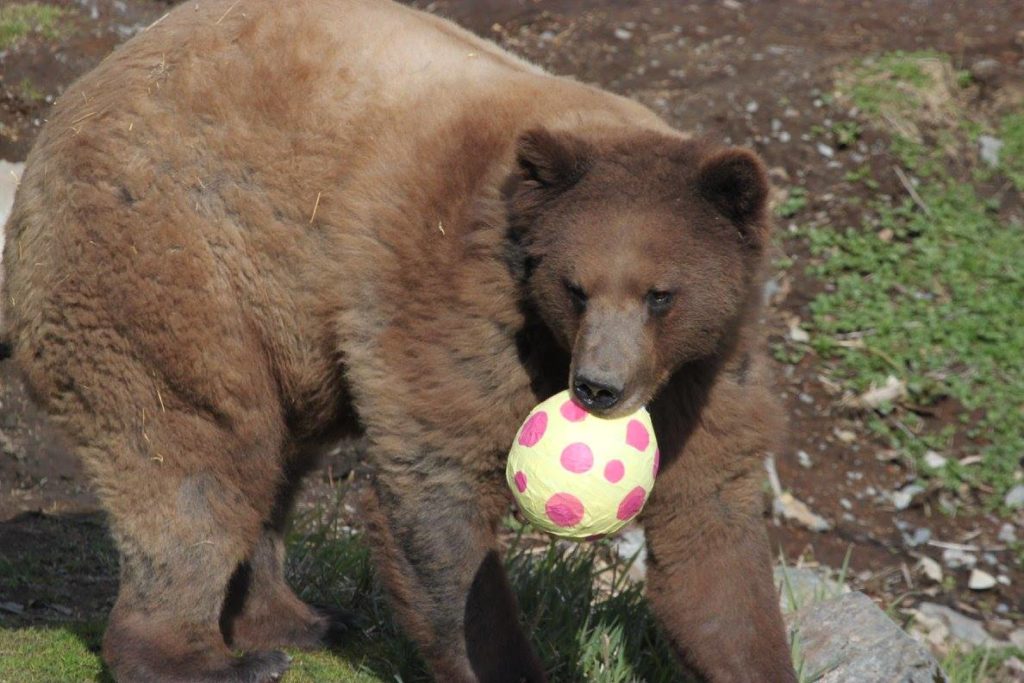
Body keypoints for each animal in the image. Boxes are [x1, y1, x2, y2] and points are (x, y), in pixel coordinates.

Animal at [0, 1, 794, 683]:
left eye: (662, 293)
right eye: (575, 286)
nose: (599, 387)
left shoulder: (707, 368)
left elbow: (710, 529)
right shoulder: (450, 295)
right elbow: (439, 492)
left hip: (288, 332)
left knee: (273, 460)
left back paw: (297, 618)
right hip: (174, 262)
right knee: (195, 453)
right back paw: (209, 654)